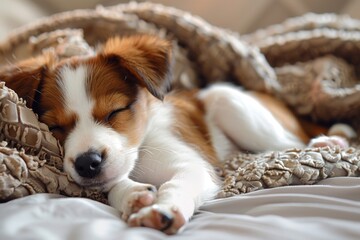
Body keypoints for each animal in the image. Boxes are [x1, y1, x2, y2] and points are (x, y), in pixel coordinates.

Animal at [0, 35, 354, 234]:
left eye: (115, 112)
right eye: (56, 126)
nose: (88, 163)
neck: (141, 152)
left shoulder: (193, 166)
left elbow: (178, 183)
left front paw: (165, 208)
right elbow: (114, 183)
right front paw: (133, 195)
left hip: (230, 102)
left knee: (291, 143)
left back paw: (328, 140)